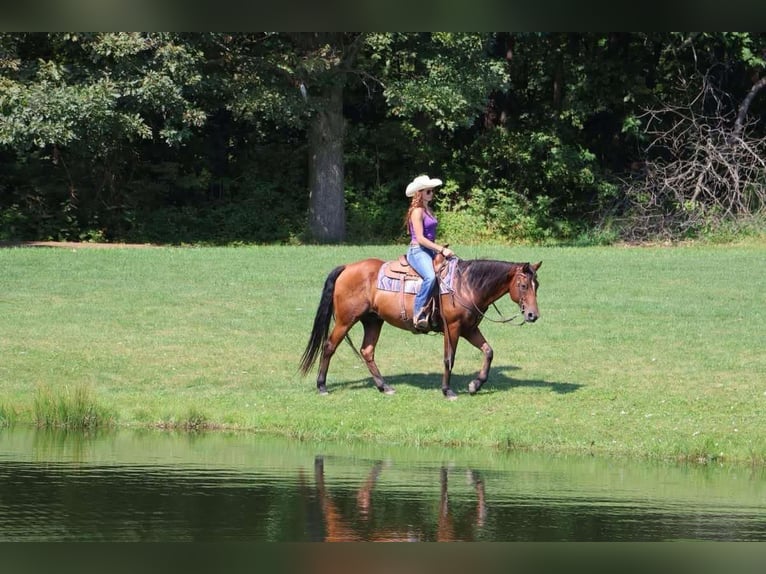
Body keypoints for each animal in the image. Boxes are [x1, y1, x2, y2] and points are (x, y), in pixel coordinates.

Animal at [299, 255, 541, 399]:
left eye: (536, 285)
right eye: (522, 285)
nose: (533, 315)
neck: (465, 285)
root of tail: (347, 267)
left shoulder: (469, 329)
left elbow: (488, 351)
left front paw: (476, 384)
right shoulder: (452, 328)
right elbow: (449, 358)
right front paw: (448, 390)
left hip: (373, 321)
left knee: (367, 351)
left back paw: (384, 386)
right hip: (345, 320)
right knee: (329, 346)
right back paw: (322, 386)